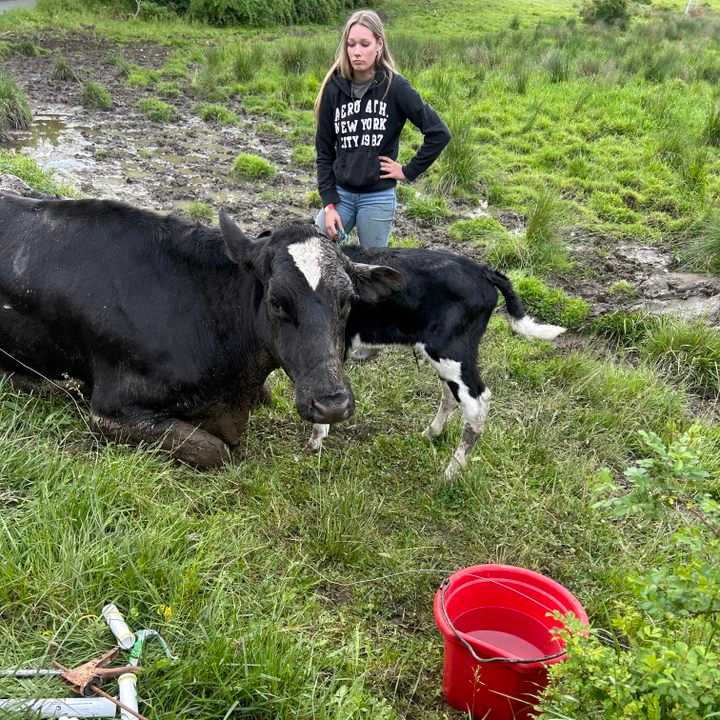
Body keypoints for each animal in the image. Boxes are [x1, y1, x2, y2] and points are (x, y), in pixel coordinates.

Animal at [306, 246, 564, 478]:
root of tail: (482, 270)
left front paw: (316, 439)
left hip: (452, 352)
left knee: (477, 403)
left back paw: (450, 474)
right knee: (450, 394)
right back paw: (433, 433)